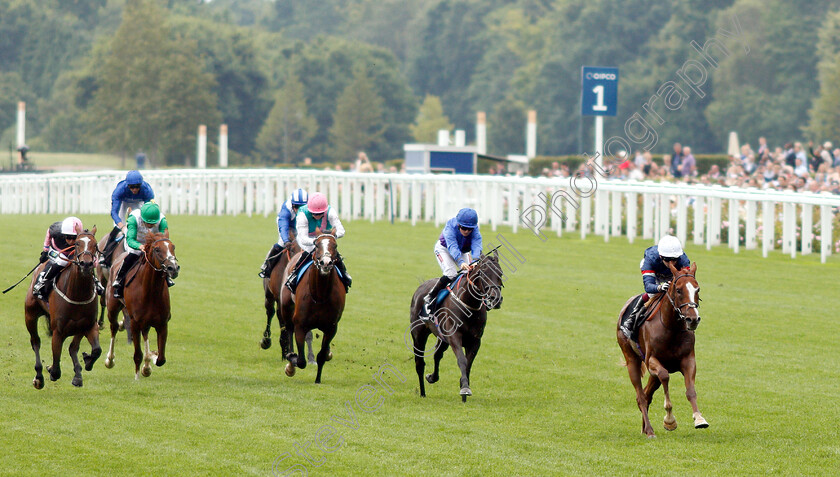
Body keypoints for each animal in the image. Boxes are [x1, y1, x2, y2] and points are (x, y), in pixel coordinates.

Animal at [24, 227, 101, 386]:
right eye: (77, 243)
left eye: (95, 244)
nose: (86, 264)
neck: (78, 294)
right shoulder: (58, 331)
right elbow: (56, 365)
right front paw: (51, 370)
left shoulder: (88, 325)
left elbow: (96, 350)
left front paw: (86, 362)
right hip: (30, 315)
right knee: (35, 342)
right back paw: (39, 376)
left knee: (73, 347)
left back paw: (78, 373)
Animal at [103, 231, 179, 380]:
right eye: (157, 249)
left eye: (173, 247)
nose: (173, 268)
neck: (151, 291)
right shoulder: (135, 323)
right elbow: (138, 354)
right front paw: (137, 377)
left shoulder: (162, 323)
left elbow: (161, 359)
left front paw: (150, 360)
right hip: (112, 308)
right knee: (114, 327)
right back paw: (110, 360)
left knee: (145, 333)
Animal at [278, 234, 344, 384]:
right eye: (317, 245)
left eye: (335, 245)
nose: (326, 263)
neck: (320, 295)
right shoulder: (300, 325)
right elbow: (301, 361)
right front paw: (291, 361)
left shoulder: (331, 328)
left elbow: (321, 356)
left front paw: (318, 379)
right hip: (286, 307)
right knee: (288, 329)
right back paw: (290, 360)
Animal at [408, 251, 502, 400]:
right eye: (483, 273)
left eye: (500, 274)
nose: (496, 299)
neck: (468, 304)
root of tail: (421, 287)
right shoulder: (455, 337)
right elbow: (462, 360)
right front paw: (464, 389)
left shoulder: (475, 341)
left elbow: (468, 364)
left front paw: (464, 386)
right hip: (418, 335)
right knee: (419, 363)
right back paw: (422, 392)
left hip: (442, 338)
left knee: (437, 355)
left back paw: (432, 377)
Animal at [616, 260, 708, 438]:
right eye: (678, 290)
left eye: (697, 289)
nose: (693, 319)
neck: (671, 328)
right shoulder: (652, 360)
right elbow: (665, 376)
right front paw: (669, 420)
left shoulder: (688, 360)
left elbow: (691, 390)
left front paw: (699, 419)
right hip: (631, 359)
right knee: (641, 396)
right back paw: (650, 431)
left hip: (652, 375)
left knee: (646, 394)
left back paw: (645, 428)